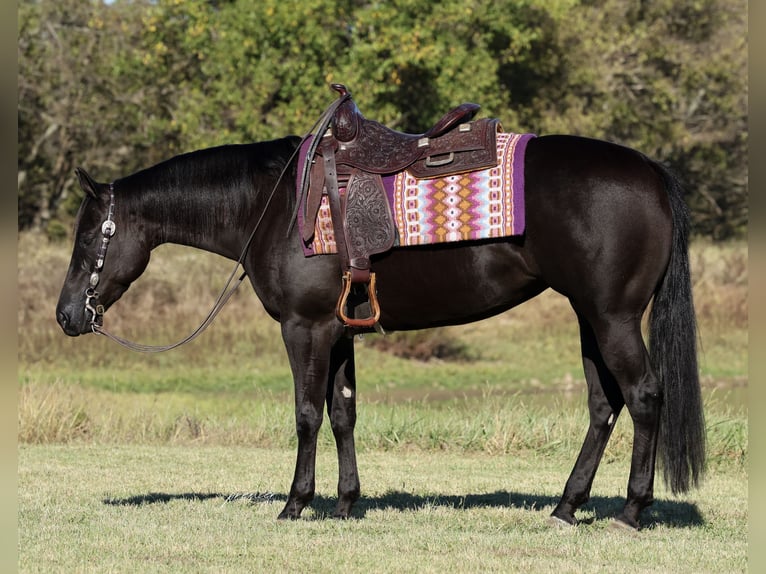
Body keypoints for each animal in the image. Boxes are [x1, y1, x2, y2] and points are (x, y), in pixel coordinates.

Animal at [55, 129, 705, 530]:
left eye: (89, 237)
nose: (66, 315)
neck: (272, 205)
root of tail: (649, 170)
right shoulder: (339, 332)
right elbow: (343, 411)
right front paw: (346, 504)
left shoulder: (304, 328)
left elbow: (306, 415)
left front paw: (296, 504)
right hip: (588, 316)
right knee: (604, 405)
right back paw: (567, 507)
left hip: (613, 317)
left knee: (644, 396)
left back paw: (630, 512)